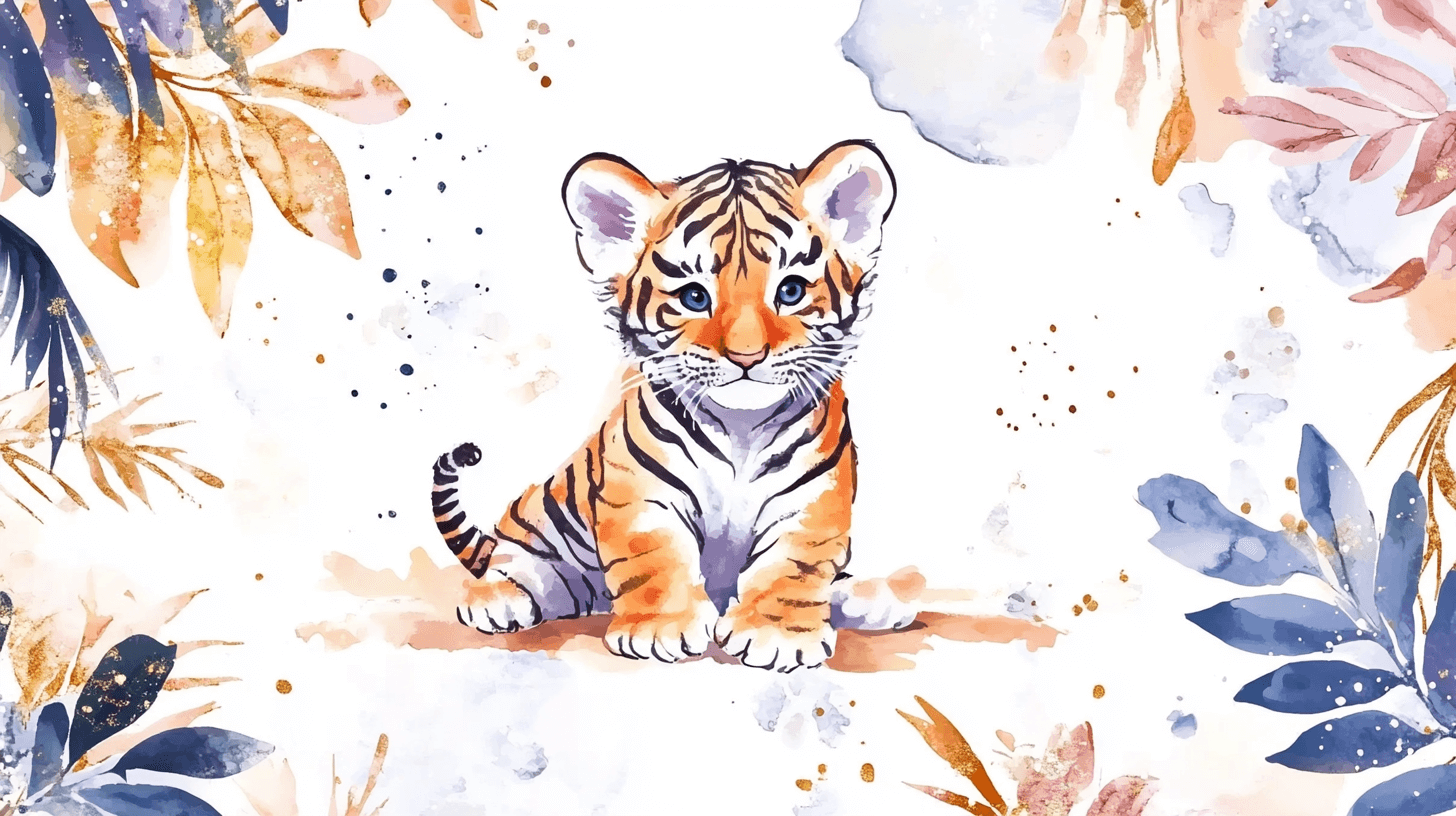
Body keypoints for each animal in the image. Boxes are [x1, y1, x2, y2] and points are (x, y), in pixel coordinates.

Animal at [431, 140, 915, 672]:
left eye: (790, 291)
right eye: (694, 297)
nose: (747, 357)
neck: (741, 426)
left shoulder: (812, 500)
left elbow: (796, 564)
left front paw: (777, 634)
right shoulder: (642, 494)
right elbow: (652, 557)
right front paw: (658, 629)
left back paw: (876, 600)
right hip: (542, 516)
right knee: (521, 563)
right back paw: (497, 599)